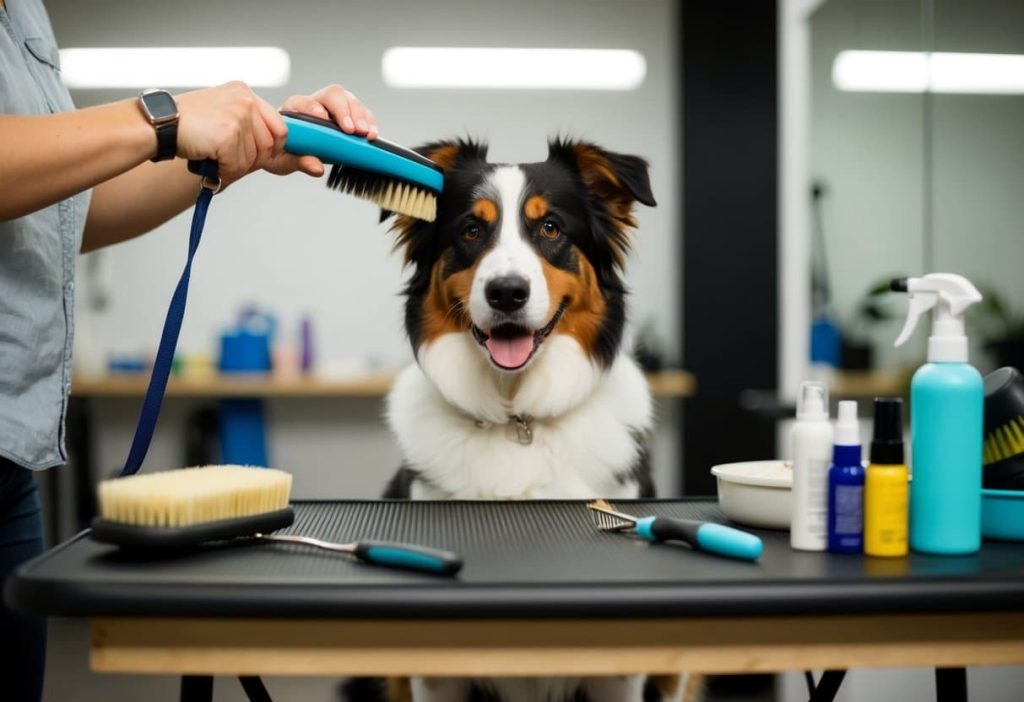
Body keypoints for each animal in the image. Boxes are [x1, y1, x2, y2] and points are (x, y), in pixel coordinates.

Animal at [339, 139, 700, 702]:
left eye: (550, 228)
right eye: (471, 230)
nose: (507, 292)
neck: (517, 415)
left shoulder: (621, 677)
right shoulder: (431, 678)